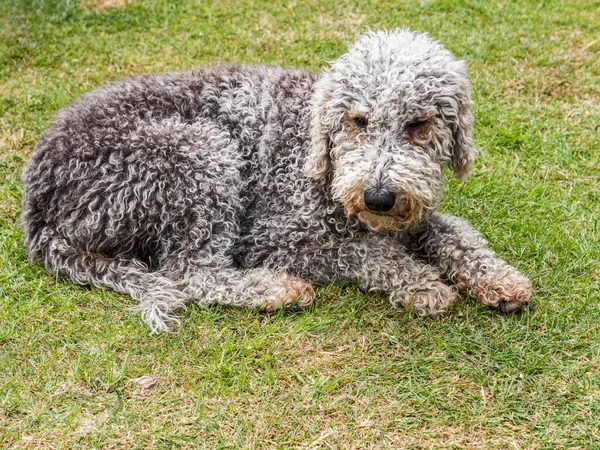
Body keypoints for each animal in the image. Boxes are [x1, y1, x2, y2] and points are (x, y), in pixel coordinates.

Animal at [21, 28, 532, 330]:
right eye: (359, 120)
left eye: (419, 124)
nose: (378, 196)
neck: (319, 156)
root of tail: (38, 206)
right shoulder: (275, 239)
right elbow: (366, 253)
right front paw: (421, 283)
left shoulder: (414, 215)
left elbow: (456, 233)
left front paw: (497, 277)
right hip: (199, 153)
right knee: (192, 274)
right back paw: (273, 289)